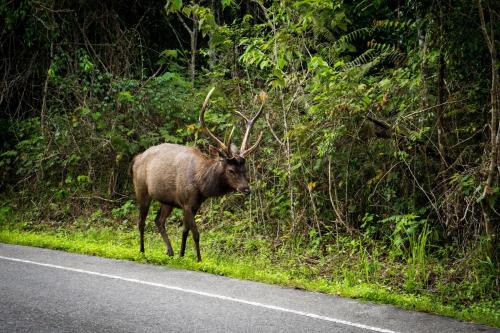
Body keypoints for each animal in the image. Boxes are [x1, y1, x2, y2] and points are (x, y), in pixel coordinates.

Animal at [129, 87, 266, 260]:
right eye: (231, 170)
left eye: (245, 169)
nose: (246, 189)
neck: (201, 186)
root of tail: (137, 158)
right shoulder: (186, 202)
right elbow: (196, 233)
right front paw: (199, 259)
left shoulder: (193, 205)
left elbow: (185, 230)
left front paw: (181, 255)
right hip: (141, 189)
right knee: (141, 220)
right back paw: (142, 250)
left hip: (167, 200)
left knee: (159, 220)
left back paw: (170, 251)